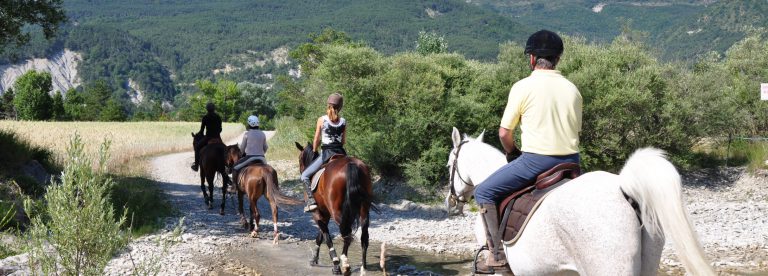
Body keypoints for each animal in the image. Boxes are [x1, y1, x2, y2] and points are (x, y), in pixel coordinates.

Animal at [294, 142, 378, 276]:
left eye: (299, 159)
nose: (301, 170)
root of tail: (351, 164)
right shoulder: (325, 214)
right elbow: (321, 236)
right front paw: (314, 258)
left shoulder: (318, 214)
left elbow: (326, 237)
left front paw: (334, 263)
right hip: (364, 208)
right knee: (363, 236)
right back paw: (363, 267)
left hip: (337, 212)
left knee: (347, 234)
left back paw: (344, 265)